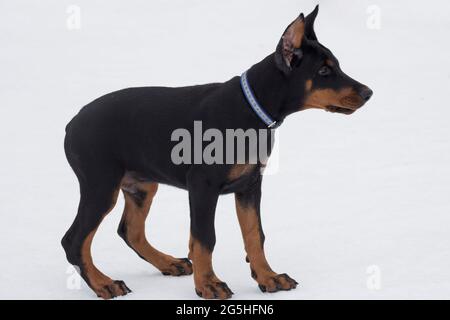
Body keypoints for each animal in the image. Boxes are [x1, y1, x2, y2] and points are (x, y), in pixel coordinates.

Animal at [62, 5, 372, 300]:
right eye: (323, 71)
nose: (368, 93)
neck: (251, 109)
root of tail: (71, 123)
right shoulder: (203, 186)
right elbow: (204, 239)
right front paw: (208, 284)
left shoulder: (250, 185)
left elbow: (254, 234)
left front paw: (268, 277)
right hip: (101, 186)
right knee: (74, 241)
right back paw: (104, 283)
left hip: (141, 185)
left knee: (130, 231)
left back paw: (168, 263)